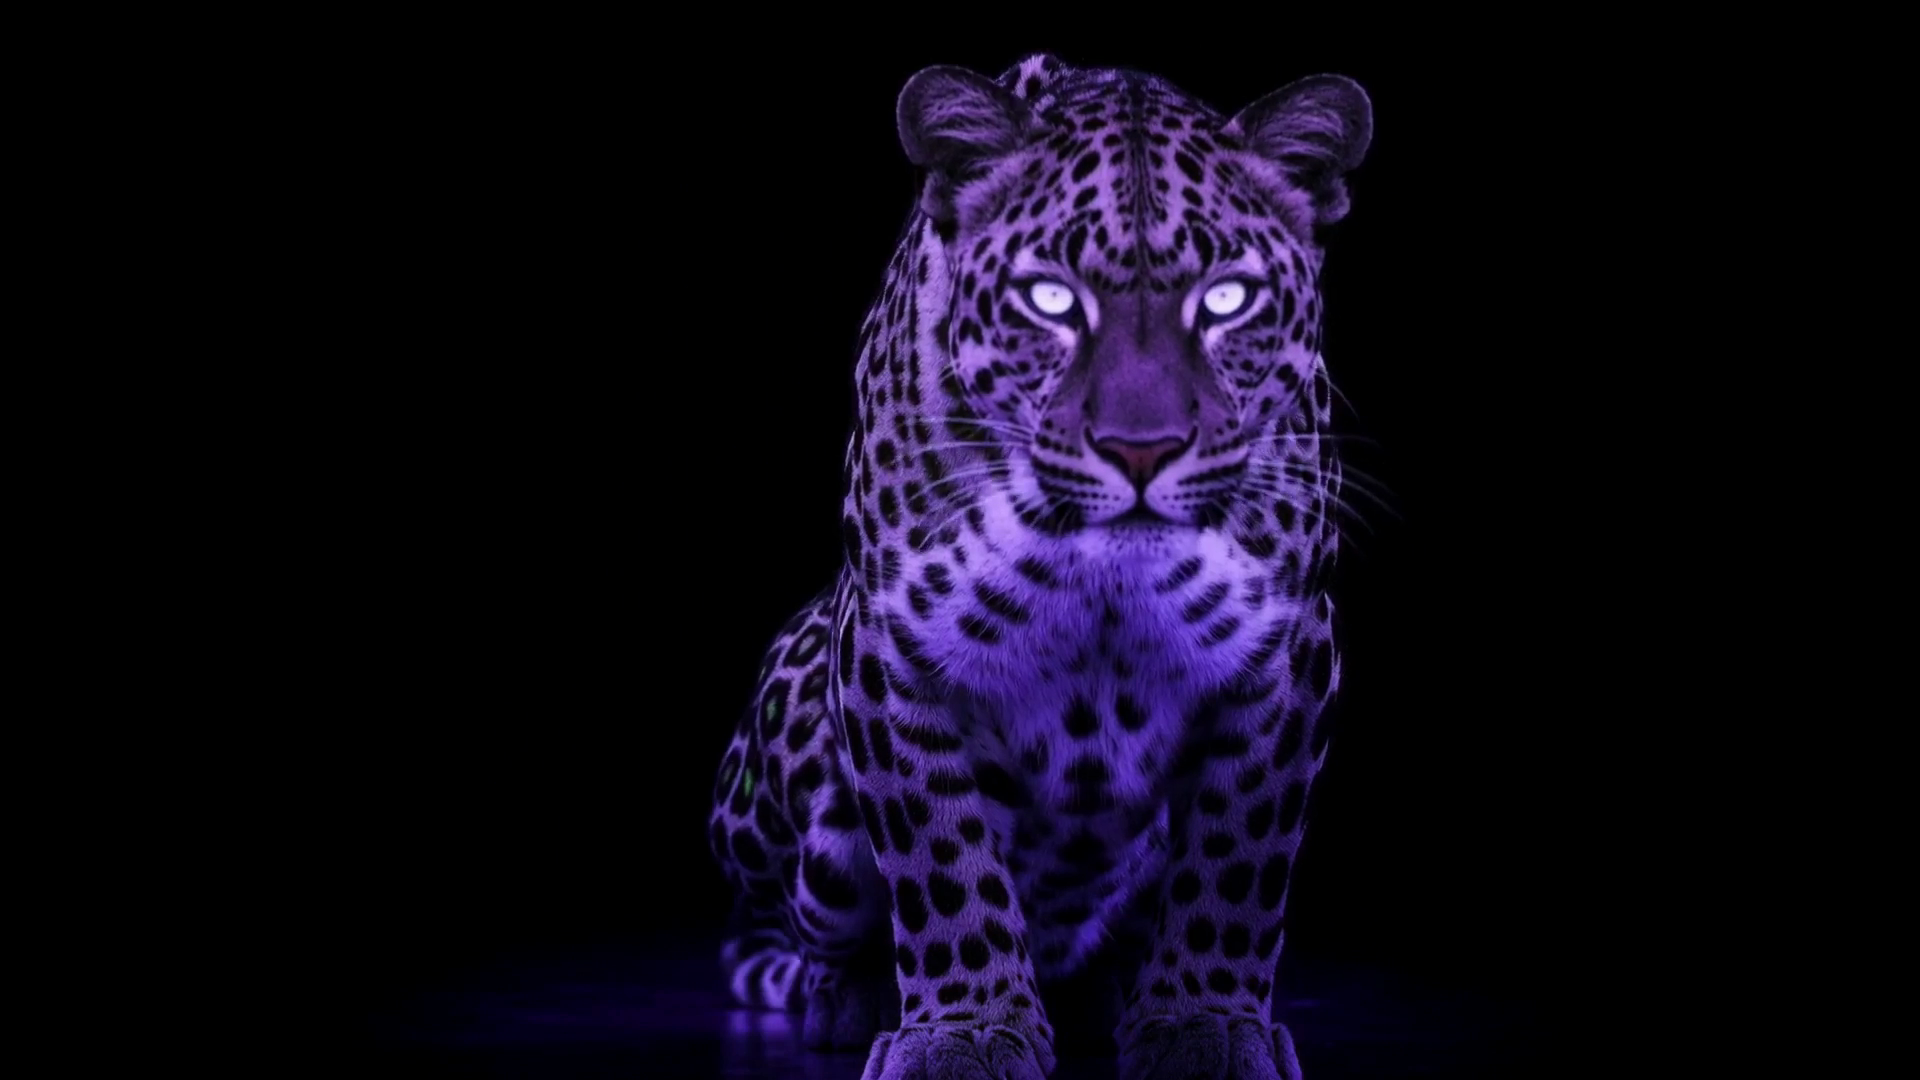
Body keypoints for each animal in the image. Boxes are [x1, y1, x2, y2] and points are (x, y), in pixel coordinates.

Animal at [708, 53, 1372, 1080]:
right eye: (1052, 299)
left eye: (1226, 299)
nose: (1142, 451)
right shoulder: (892, 644)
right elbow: (940, 858)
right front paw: (965, 1031)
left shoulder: (1291, 648)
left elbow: (1237, 861)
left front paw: (1204, 1024)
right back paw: (852, 1001)